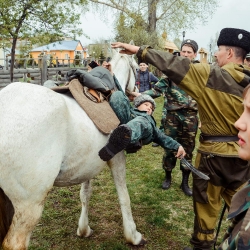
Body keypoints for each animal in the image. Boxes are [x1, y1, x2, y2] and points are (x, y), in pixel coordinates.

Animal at [0, 49, 145, 249]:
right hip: (28, 206)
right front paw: (133, 235)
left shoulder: (89, 164)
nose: (137, 93)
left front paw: (83, 229)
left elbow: (85, 194)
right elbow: (124, 195)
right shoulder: (117, 157)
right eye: (137, 68)